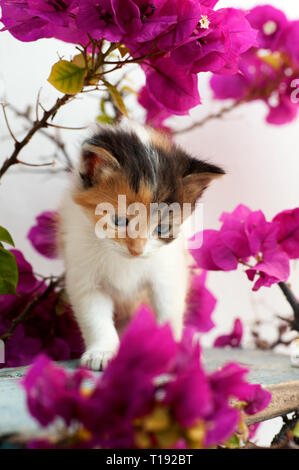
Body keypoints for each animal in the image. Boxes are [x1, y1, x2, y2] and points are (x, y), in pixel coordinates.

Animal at [58, 122, 224, 370]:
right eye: (118, 221)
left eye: (163, 228)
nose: (136, 251)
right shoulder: (83, 272)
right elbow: (94, 317)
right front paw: (102, 352)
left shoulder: (167, 270)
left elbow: (168, 309)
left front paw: (171, 350)